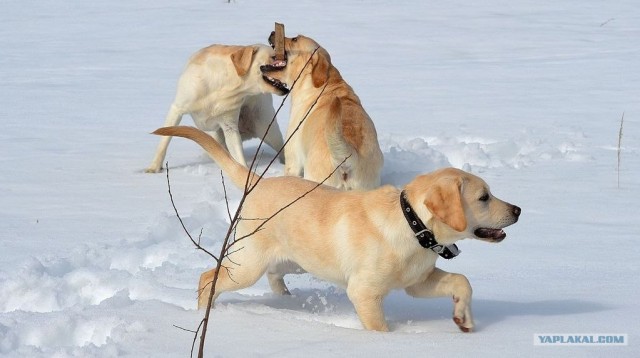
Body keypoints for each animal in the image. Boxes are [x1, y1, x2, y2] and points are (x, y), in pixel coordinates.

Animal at [145, 44, 288, 173]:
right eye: (273, 57)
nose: (289, 59)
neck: (227, 86)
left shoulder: (230, 126)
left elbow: (238, 155)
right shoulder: (177, 109)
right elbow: (164, 142)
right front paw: (154, 168)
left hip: (266, 129)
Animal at [154, 126, 520, 332]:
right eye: (484, 197)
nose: (517, 210)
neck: (410, 224)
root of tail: (258, 181)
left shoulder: (418, 282)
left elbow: (462, 281)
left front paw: (464, 318)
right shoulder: (364, 292)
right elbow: (379, 329)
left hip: (294, 261)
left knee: (272, 276)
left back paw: (285, 299)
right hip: (247, 265)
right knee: (208, 277)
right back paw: (206, 315)